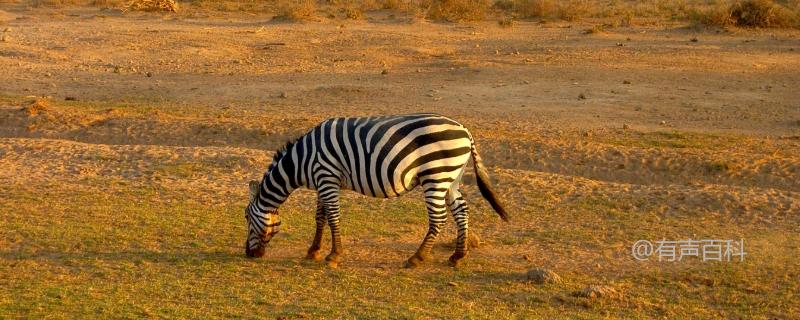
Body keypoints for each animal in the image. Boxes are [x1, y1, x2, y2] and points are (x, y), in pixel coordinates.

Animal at [244, 112, 510, 268]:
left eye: (246, 217)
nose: (248, 253)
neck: (302, 161)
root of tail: (465, 131)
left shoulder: (327, 176)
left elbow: (333, 217)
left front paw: (334, 255)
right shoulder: (324, 180)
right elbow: (320, 217)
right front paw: (314, 250)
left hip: (436, 175)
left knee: (439, 218)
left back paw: (417, 258)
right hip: (450, 178)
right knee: (461, 210)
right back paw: (457, 256)